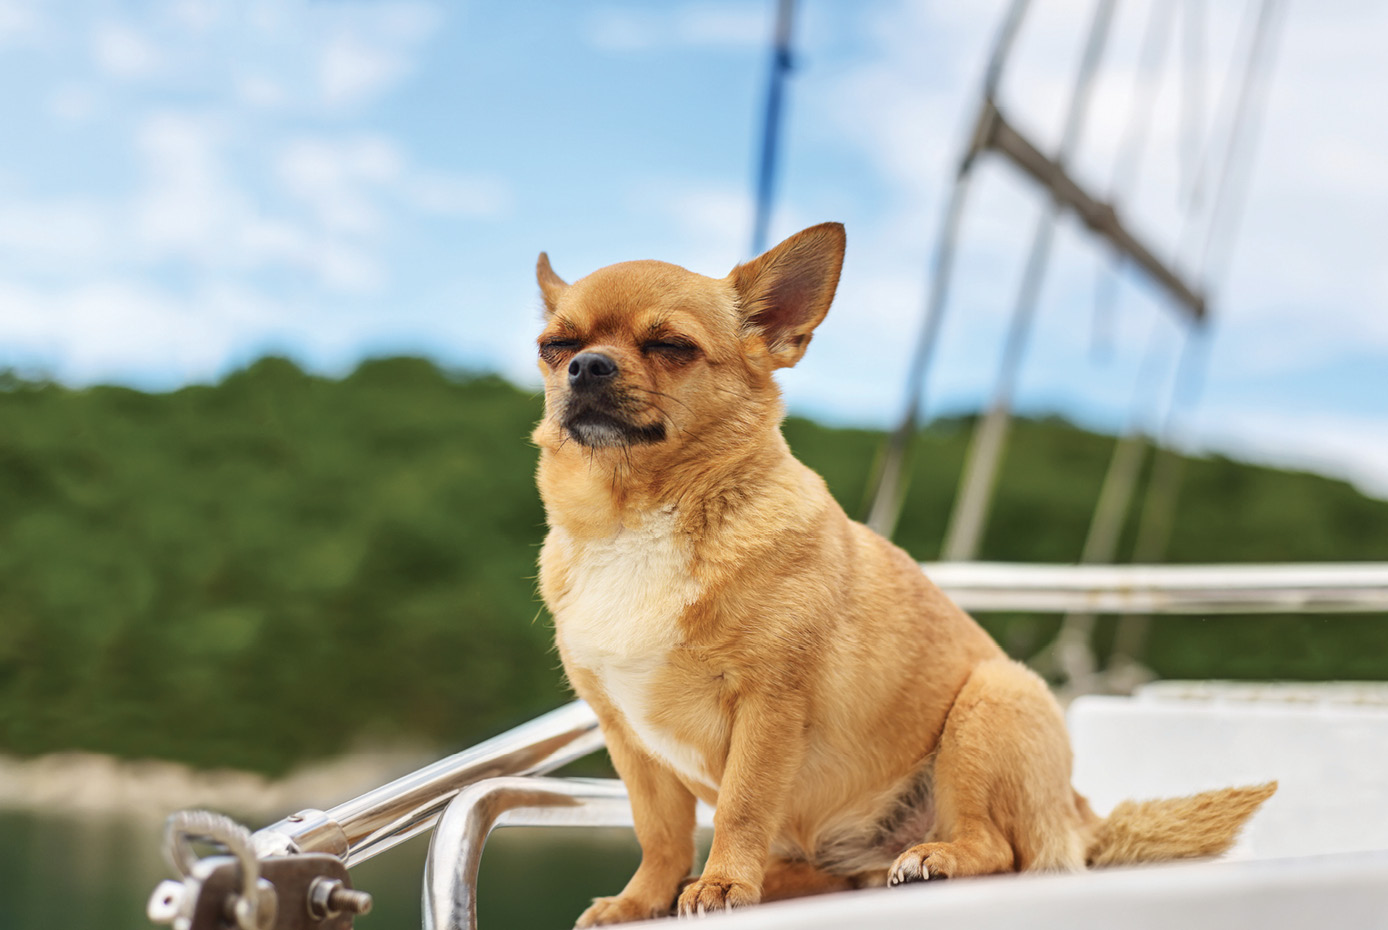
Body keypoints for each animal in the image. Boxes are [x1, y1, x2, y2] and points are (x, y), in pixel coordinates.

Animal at [532, 223, 1276, 927]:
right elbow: (659, 833)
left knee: (997, 849)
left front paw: (722, 884)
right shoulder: (628, 739)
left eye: (672, 346)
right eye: (555, 346)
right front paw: (640, 902)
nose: (587, 366)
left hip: (989, 705)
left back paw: (930, 859)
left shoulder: (768, 708)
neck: (634, 517)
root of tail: (1078, 809)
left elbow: (742, 805)